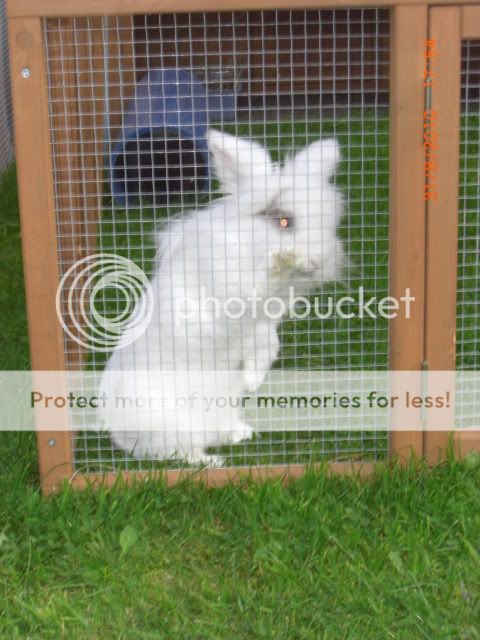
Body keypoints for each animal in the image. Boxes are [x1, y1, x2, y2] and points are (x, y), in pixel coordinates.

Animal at [98, 129, 344, 464]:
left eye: (329, 225)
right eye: (283, 221)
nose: (319, 262)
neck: (246, 248)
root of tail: (116, 432)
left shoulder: (264, 325)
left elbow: (269, 346)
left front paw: (251, 381)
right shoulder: (224, 305)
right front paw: (280, 260)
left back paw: (240, 433)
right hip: (168, 424)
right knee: (174, 451)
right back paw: (211, 461)